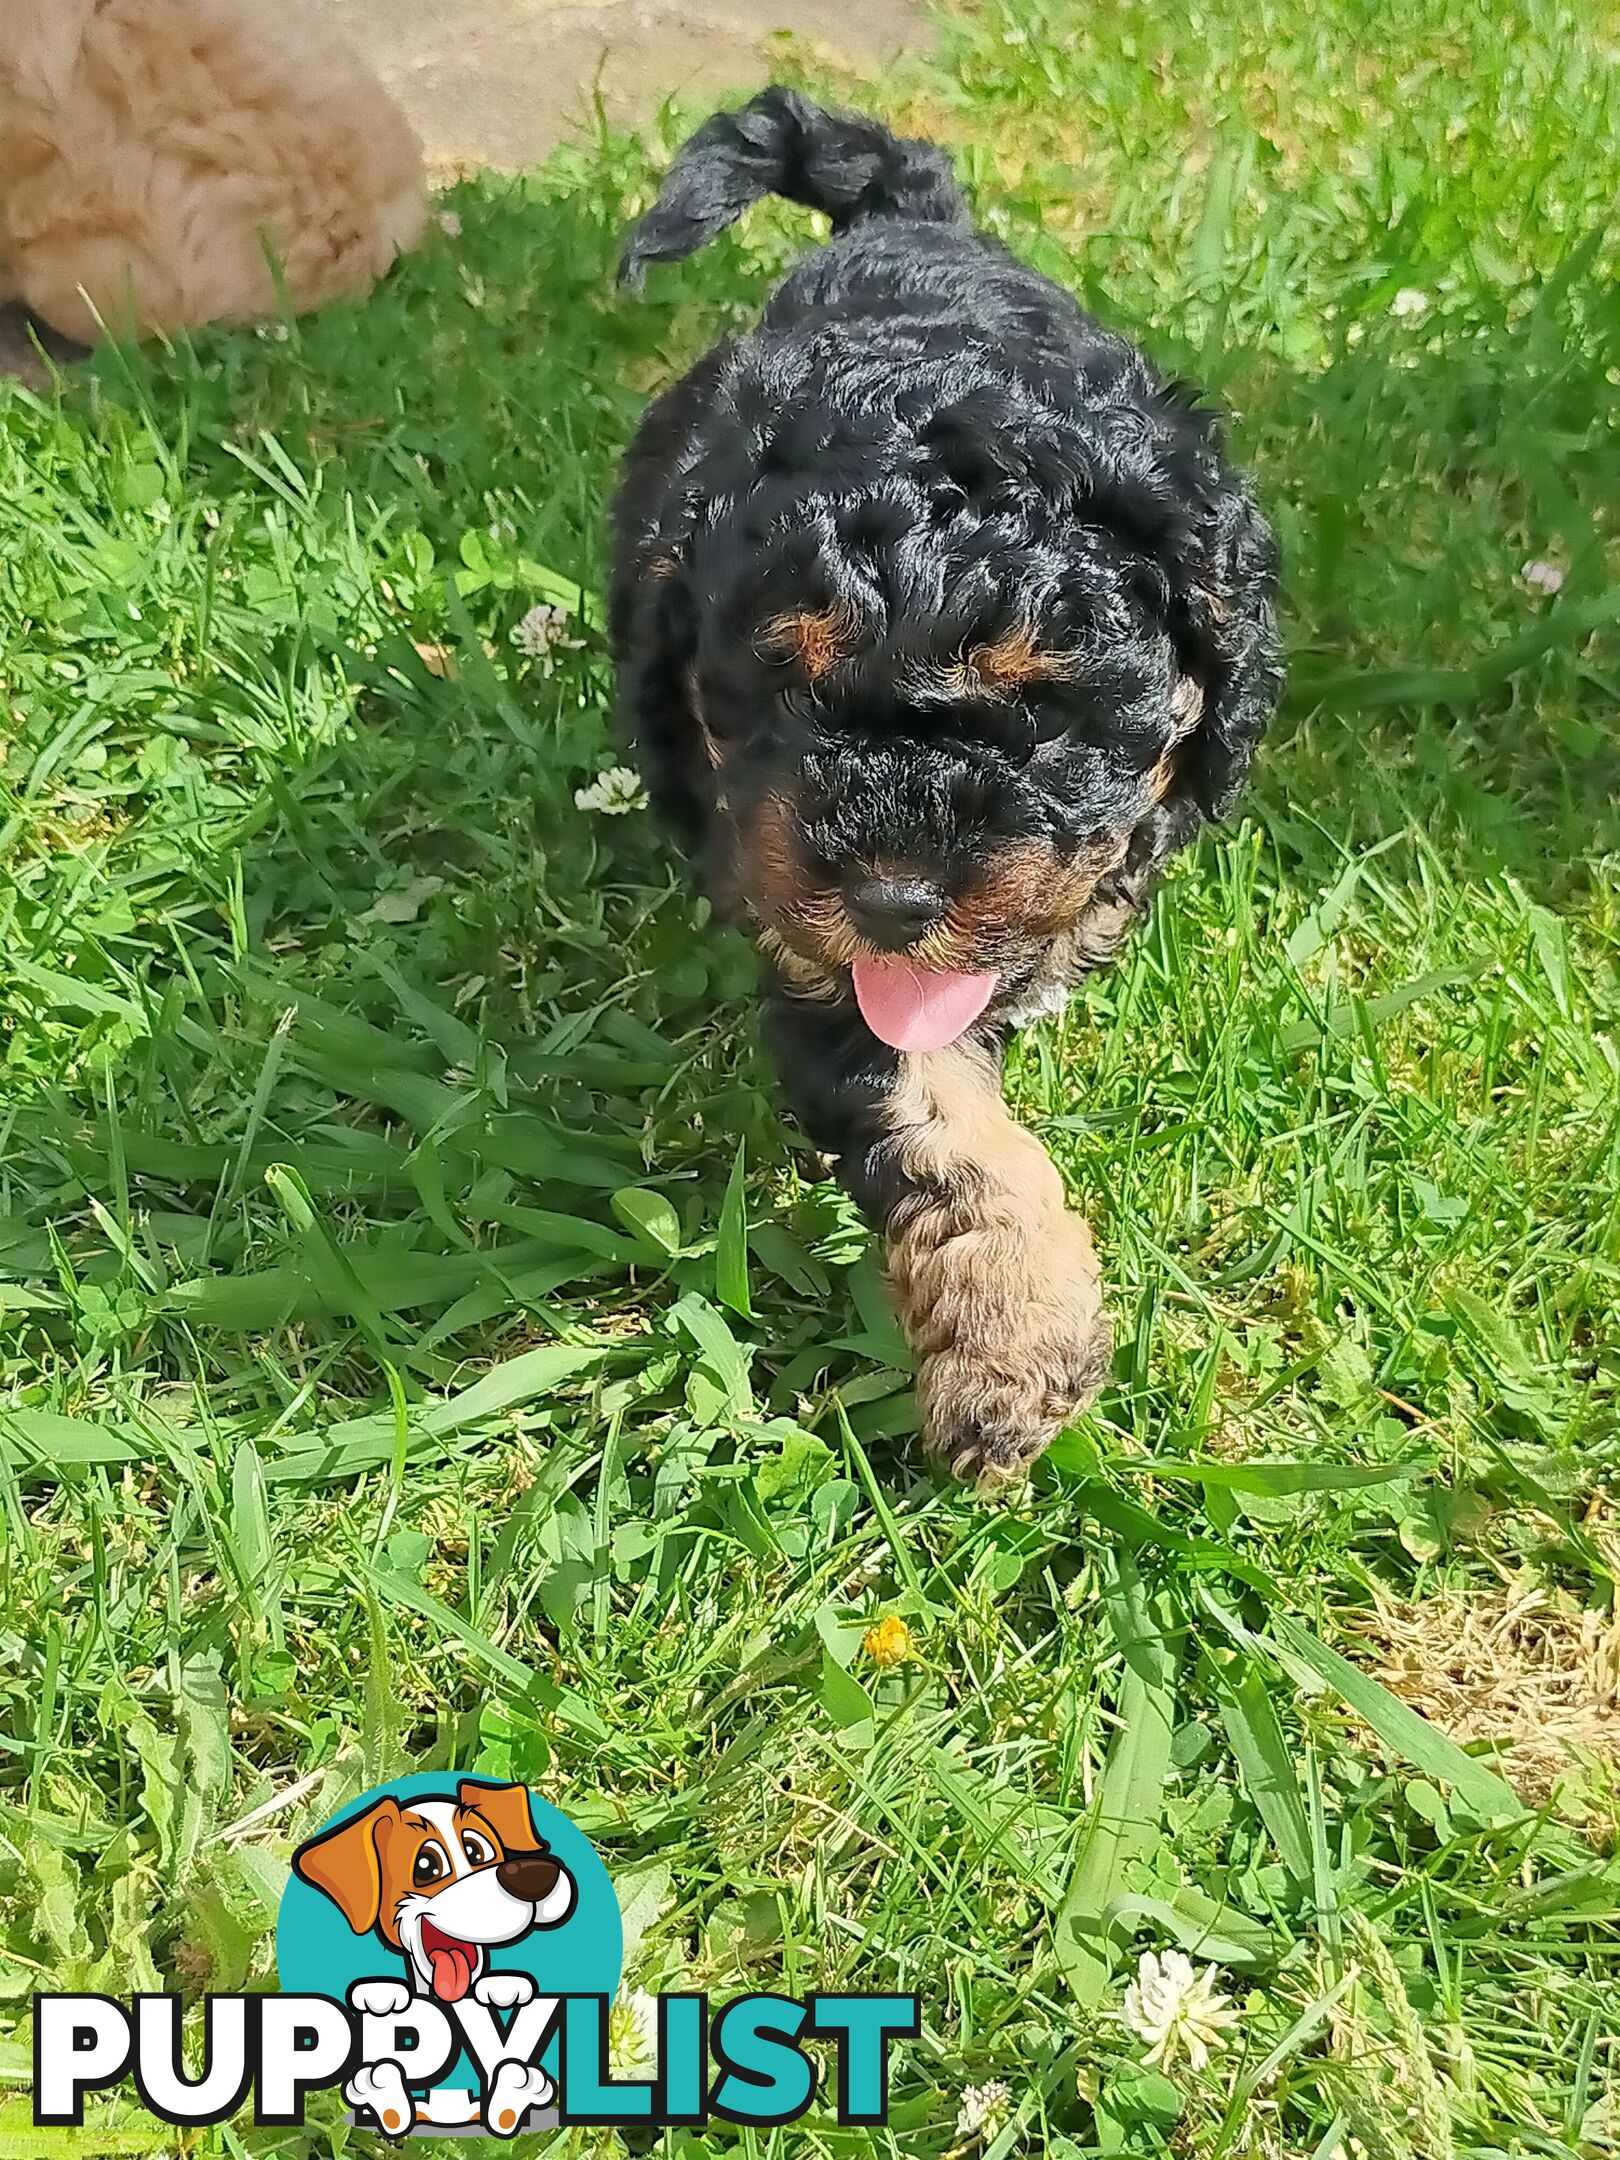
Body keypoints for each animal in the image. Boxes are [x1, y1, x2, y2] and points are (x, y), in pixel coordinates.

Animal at [609, 97, 1278, 1486]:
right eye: (779, 692)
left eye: (1050, 708)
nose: (893, 902)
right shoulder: (828, 972)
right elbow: (940, 1124)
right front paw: (1011, 1355)